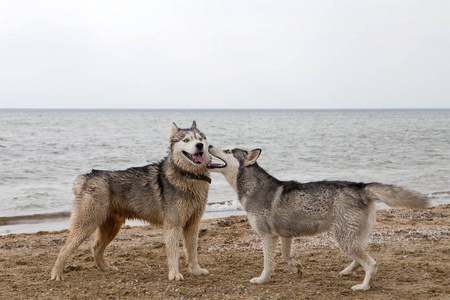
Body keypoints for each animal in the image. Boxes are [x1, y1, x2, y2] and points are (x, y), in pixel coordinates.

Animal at [50, 120, 212, 280]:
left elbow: (192, 251)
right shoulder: (174, 224)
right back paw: (56, 273)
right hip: (87, 224)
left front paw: (196, 270)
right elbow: (174, 253)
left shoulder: (193, 224)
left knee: (96, 248)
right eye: (186, 140)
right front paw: (174, 274)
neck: (188, 176)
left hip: (111, 227)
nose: (200, 145)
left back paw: (106, 268)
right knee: (64, 249)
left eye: (200, 138)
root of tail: (88, 176)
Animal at [207, 145, 432, 290]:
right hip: (351, 237)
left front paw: (262, 280)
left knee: (371, 264)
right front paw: (296, 267)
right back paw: (348, 271)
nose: (208, 144)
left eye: (227, 151)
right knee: (360, 258)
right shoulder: (284, 236)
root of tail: (361, 187)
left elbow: (268, 264)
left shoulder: (267, 237)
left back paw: (363, 286)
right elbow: (286, 257)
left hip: (344, 239)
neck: (253, 188)